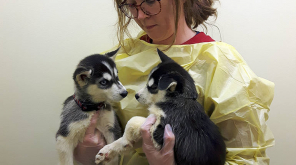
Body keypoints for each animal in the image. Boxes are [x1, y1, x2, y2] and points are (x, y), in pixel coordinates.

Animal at [96, 49, 225, 165]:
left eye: (153, 87)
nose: (136, 96)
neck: (179, 98)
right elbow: (121, 140)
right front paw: (107, 150)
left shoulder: (160, 131)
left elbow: (133, 120)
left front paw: (125, 138)